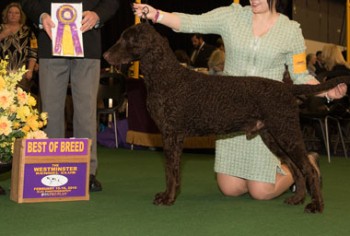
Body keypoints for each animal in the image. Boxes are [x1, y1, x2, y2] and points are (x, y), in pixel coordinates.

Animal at [104, 23, 350, 213]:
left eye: (126, 39)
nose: (105, 55)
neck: (167, 76)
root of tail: (286, 87)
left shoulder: (172, 135)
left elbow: (171, 172)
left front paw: (168, 198)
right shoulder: (169, 135)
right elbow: (169, 171)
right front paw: (167, 196)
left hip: (285, 131)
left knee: (308, 168)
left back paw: (316, 205)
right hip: (272, 136)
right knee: (296, 169)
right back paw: (297, 199)